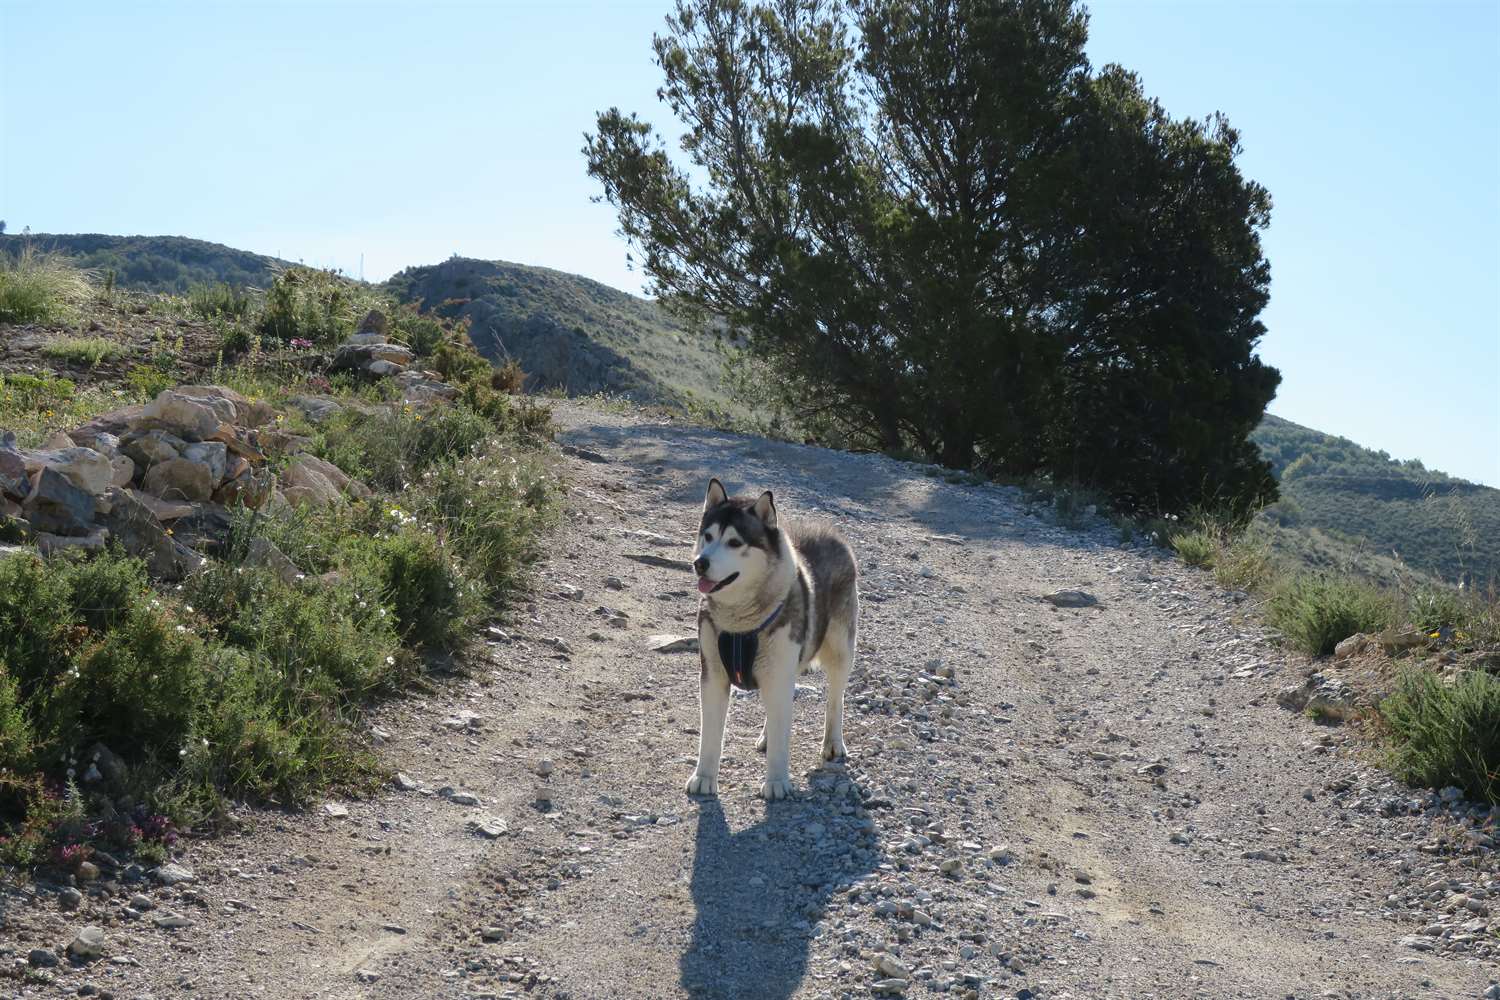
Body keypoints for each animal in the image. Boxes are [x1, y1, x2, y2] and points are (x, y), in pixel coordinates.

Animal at [684, 479, 858, 803]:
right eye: (708, 536)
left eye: (734, 542)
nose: (700, 563)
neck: (741, 624)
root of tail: (826, 529)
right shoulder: (713, 676)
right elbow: (710, 735)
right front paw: (704, 777)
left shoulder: (778, 672)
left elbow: (782, 739)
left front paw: (777, 782)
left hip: (840, 653)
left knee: (835, 700)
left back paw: (832, 742)